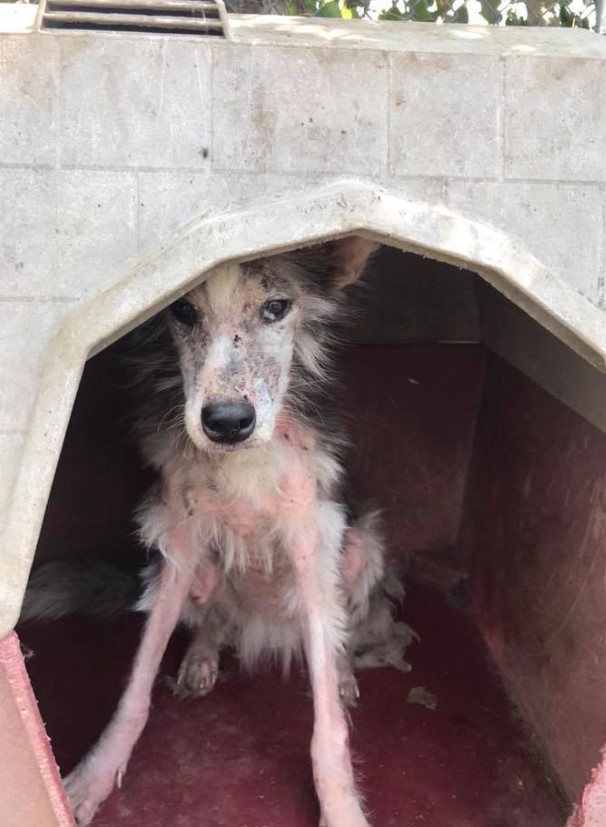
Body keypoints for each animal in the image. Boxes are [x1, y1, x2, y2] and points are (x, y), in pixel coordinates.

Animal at [22, 238, 414, 827]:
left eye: (276, 307)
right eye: (183, 311)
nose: (227, 422)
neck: (242, 458)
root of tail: (262, 630)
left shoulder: (310, 537)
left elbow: (328, 726)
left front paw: (341, 806)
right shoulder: (178, 541)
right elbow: (137, 684)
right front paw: (94, 776)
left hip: (358, 549)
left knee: (337, 634)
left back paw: (344, 673)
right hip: (190, 574)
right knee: (212, 623)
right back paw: (202, 658)